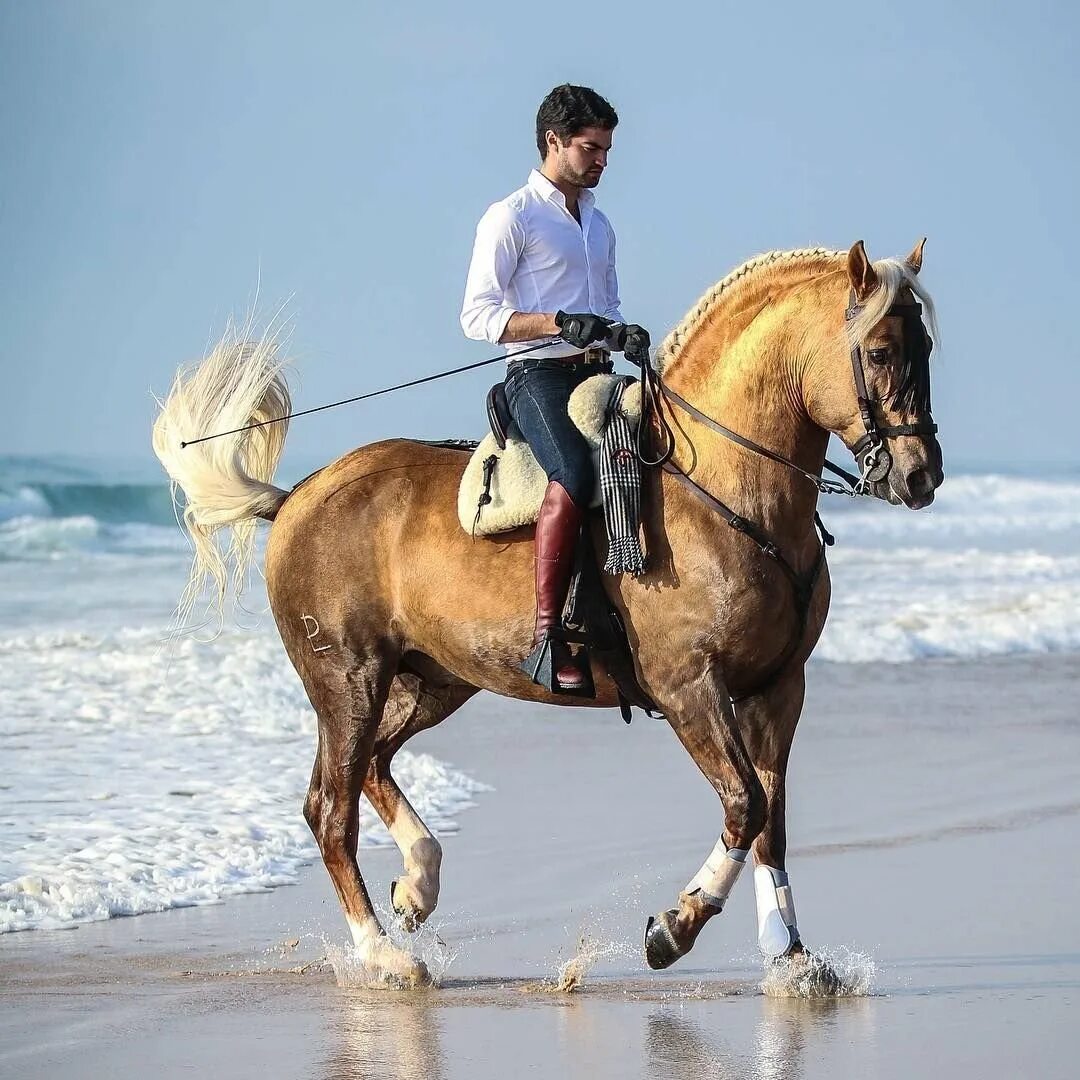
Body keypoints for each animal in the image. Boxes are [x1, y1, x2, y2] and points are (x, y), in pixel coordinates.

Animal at [154, 240, 946, 984]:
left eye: (928, 348)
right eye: (880, 351)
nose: (920, 477)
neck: (724, 489)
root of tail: (297, 496)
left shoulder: (780, 687)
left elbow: (771, 822)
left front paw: (792, 958)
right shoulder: (690, 687)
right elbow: (745, 803)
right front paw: (673, 930)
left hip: (430, 680)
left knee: (373, 765)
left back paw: (418, 886)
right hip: (347, 679)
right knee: (330, 807)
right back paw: (386, 956)